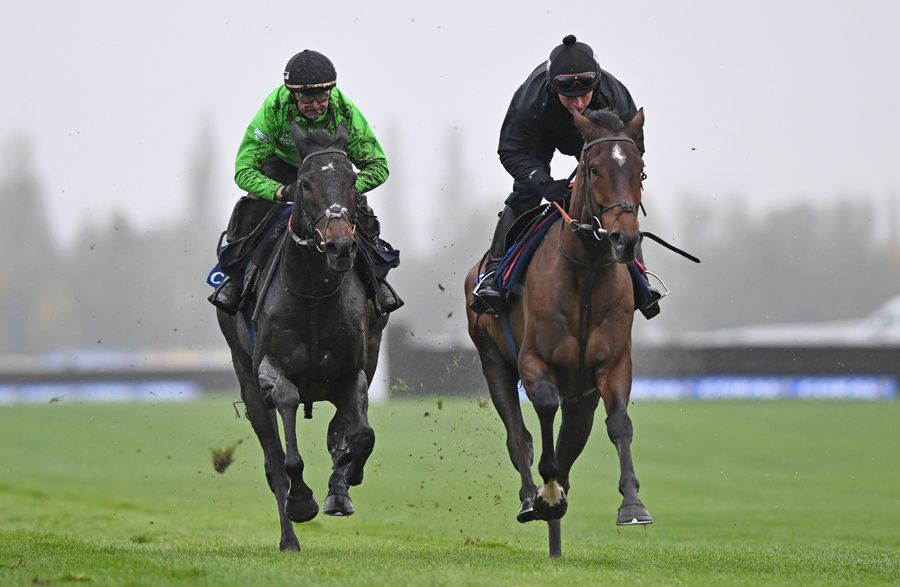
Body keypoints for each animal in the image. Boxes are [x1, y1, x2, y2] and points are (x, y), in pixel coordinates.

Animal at [219, 123, 390, 552]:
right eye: (306, 183)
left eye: (352, 181)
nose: (341, 245)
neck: (313, 294)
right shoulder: (269, 369)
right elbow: (286, 429)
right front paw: (301, 501)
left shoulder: (353, 372)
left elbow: (360, 434)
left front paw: (344, 481)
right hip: (245, 379)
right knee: (272, 457)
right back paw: (289, 538)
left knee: (341, 429)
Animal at [468, 107, 652, 556]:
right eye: (594, 168)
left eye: (639, 170)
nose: (624, 238)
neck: (585, 274)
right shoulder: (535, 361)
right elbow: (542, 413)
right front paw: (546, 495)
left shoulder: (612, 364)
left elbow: (619, 424)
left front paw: (632, 504)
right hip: (492, 360)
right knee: (518, 435)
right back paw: (532, 497)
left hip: (581, 395)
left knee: (573, 438)